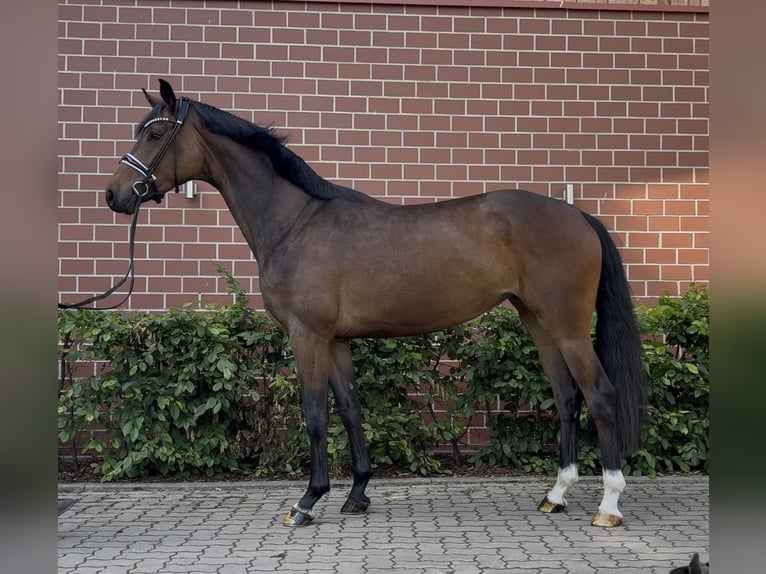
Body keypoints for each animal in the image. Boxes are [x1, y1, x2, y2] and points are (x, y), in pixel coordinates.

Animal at [105, 79, 647, 528]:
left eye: (155, 135)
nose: (115, 196)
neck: (296, 222)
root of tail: (577, 215)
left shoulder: (307, 335)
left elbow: (315, 414)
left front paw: (307, 501)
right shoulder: (337, 340)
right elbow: (349, 409)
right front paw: (357, 494)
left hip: (568, 326)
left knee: (601, 395)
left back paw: (608, 505)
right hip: (538, 321)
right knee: (567, 397)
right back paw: (556, 494)